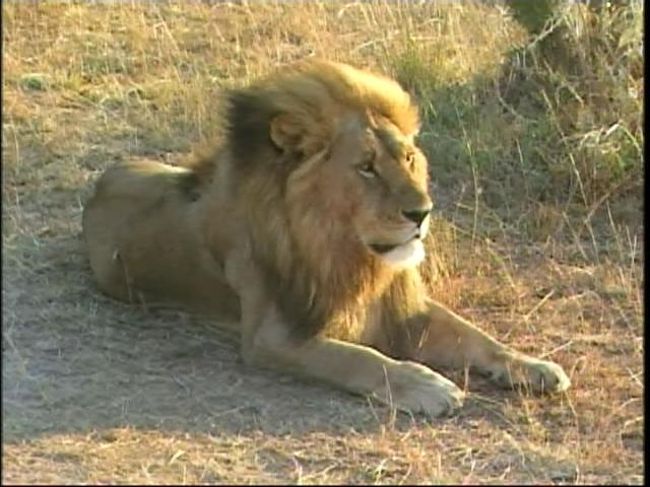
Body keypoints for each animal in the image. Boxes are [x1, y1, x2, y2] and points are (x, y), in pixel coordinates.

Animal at [81, 57, 568, 416]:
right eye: (367, 167)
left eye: (408, 158)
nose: (422, 212)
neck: (348, 251)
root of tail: (103, 180)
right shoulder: (274, 334)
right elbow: (359, 358)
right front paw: (425, 385)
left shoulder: (404, 311)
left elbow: (477, 337)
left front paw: (533, 365)